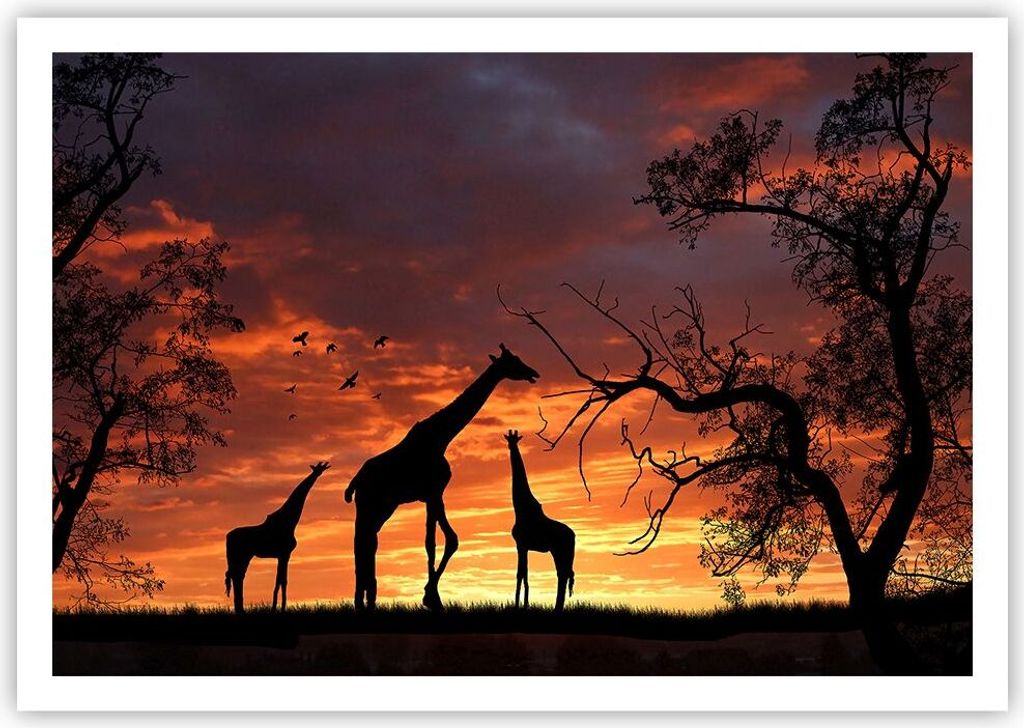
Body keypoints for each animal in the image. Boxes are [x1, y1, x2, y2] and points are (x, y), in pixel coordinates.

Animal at [224, 461, 330, 614]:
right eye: (317, 469)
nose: (318, 473)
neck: (290, 520)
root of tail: (227, 537)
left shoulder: (283, 555)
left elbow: (280, 581)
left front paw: (277, 608)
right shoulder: (285, 553)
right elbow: (282, 581)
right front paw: (280, 609)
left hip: (243, 556)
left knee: (238, 576)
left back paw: (241, 610)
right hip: (241, 555)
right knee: (237, 576)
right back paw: (240, 610)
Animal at [343, 344, 540, 611]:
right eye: (514, 361)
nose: (533, 372)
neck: (441, 437)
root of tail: (355, 482)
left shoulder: (431, 495)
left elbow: (431, 542)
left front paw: (431, 596)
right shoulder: (434, 492)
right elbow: (450, 539)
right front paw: (432, 598)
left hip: (383, 507)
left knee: (368, 541)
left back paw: (367, 600)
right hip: (369, 505)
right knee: (361, 541)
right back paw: (362, 601)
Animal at [505, 430, 576, 611]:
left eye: (514, 440)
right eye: (509, 440)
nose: (511, 447)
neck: (521, 508)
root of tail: (574, 536)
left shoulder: (520, 544)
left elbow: (520, 574)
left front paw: (519, 606)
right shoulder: (523, 546)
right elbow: (524, 574)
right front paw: (523, 605)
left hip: (560, 550)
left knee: (563, 574)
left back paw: (557, 608)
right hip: (561, 552)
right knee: (564, 574)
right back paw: (557, 607)